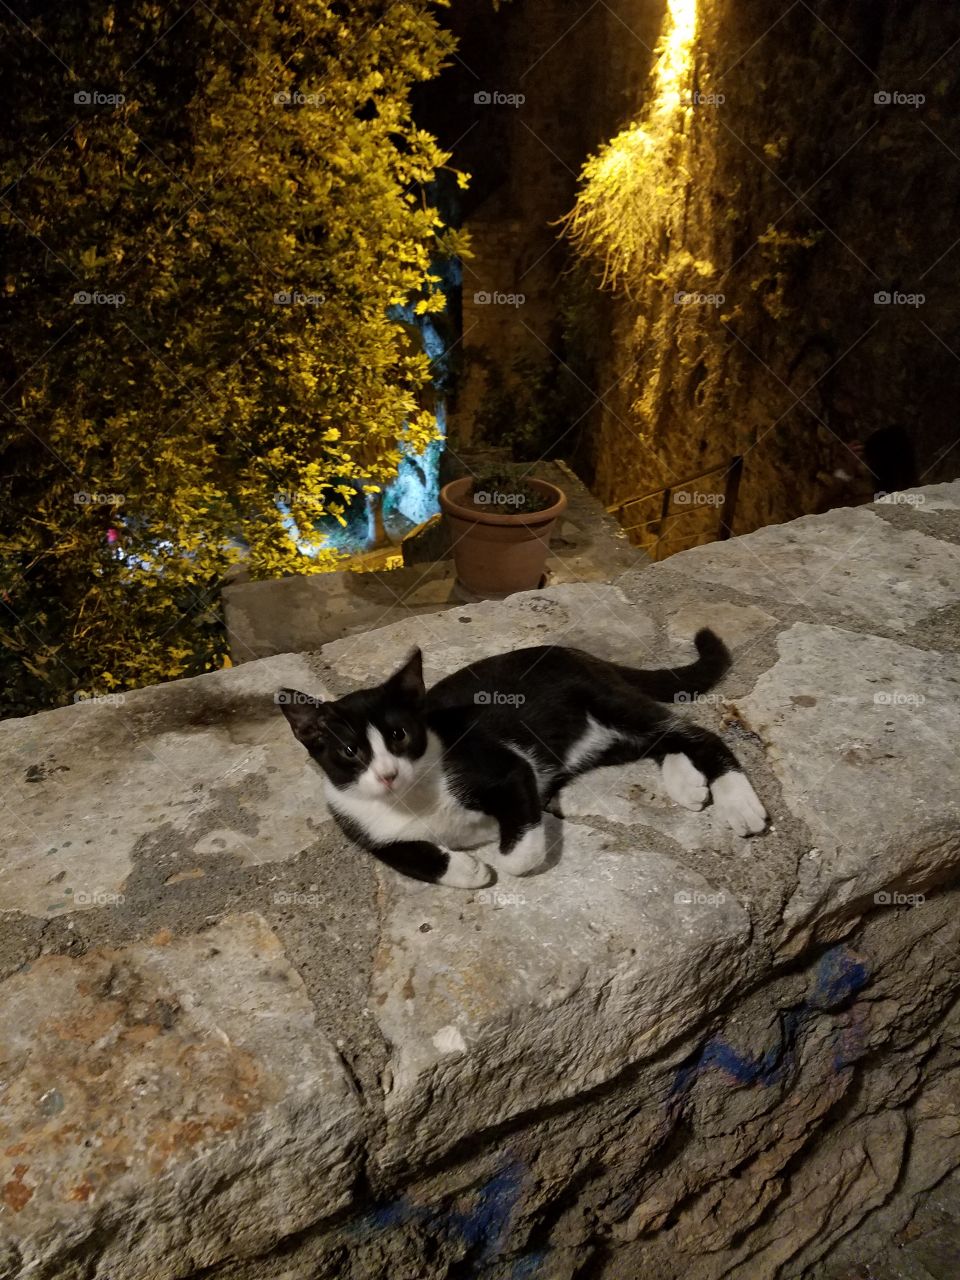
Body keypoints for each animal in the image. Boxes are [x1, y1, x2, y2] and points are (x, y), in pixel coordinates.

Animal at [277, 629, 768, 890]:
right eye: (350, 752)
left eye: (399, 735)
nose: (387, 774)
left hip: (606, 701)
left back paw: (737, 802)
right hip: (604, 739)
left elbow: (518, 851)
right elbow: (409, 855)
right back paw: (688, 784)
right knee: (661, 740)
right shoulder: (362, 827)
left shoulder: (506, 767)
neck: (412, 799)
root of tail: (572, 650)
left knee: (696, 734)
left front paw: (498, 848)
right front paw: (468, 869)